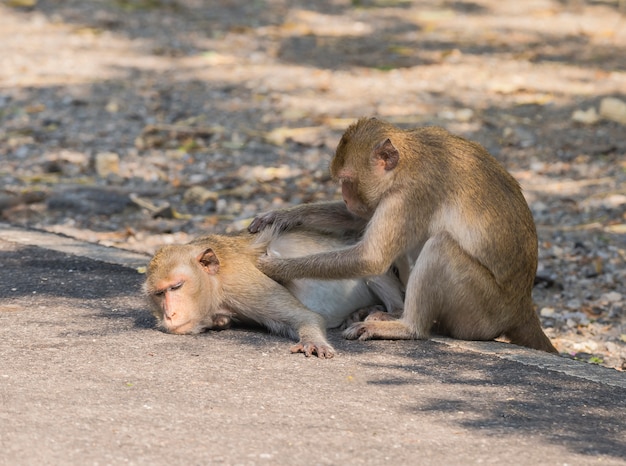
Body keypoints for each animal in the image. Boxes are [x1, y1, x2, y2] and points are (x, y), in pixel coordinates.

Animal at [144, 228, 402, 358]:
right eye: (158, 294)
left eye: (176, 286)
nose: (169, 315)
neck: (217, 280)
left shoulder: (243, 282)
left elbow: (304, 317)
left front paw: (313, 341)